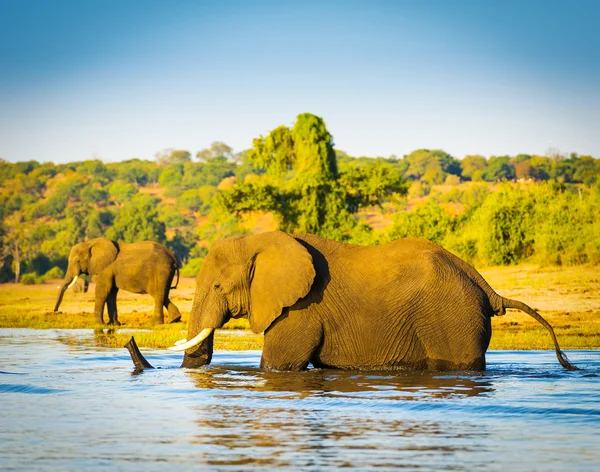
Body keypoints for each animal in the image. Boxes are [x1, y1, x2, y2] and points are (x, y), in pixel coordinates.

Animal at [54, 238, 182, 326]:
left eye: (77, 260)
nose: (56, 312)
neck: (91, 242)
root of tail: (173, 257)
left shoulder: (106, 268)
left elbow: (103, 290)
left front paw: (100, 324)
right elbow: (111, 293)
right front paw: (114, 324)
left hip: (161, 271)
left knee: (158, 294)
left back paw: (155, 323)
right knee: (162, 294)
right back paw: (174, 319)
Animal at [125, 230, 576, 370]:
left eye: (219, 288)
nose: (129, 341)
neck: (261, 240)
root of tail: (486, 286)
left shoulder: (300, 309)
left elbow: (278, 364)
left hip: (453, 318)